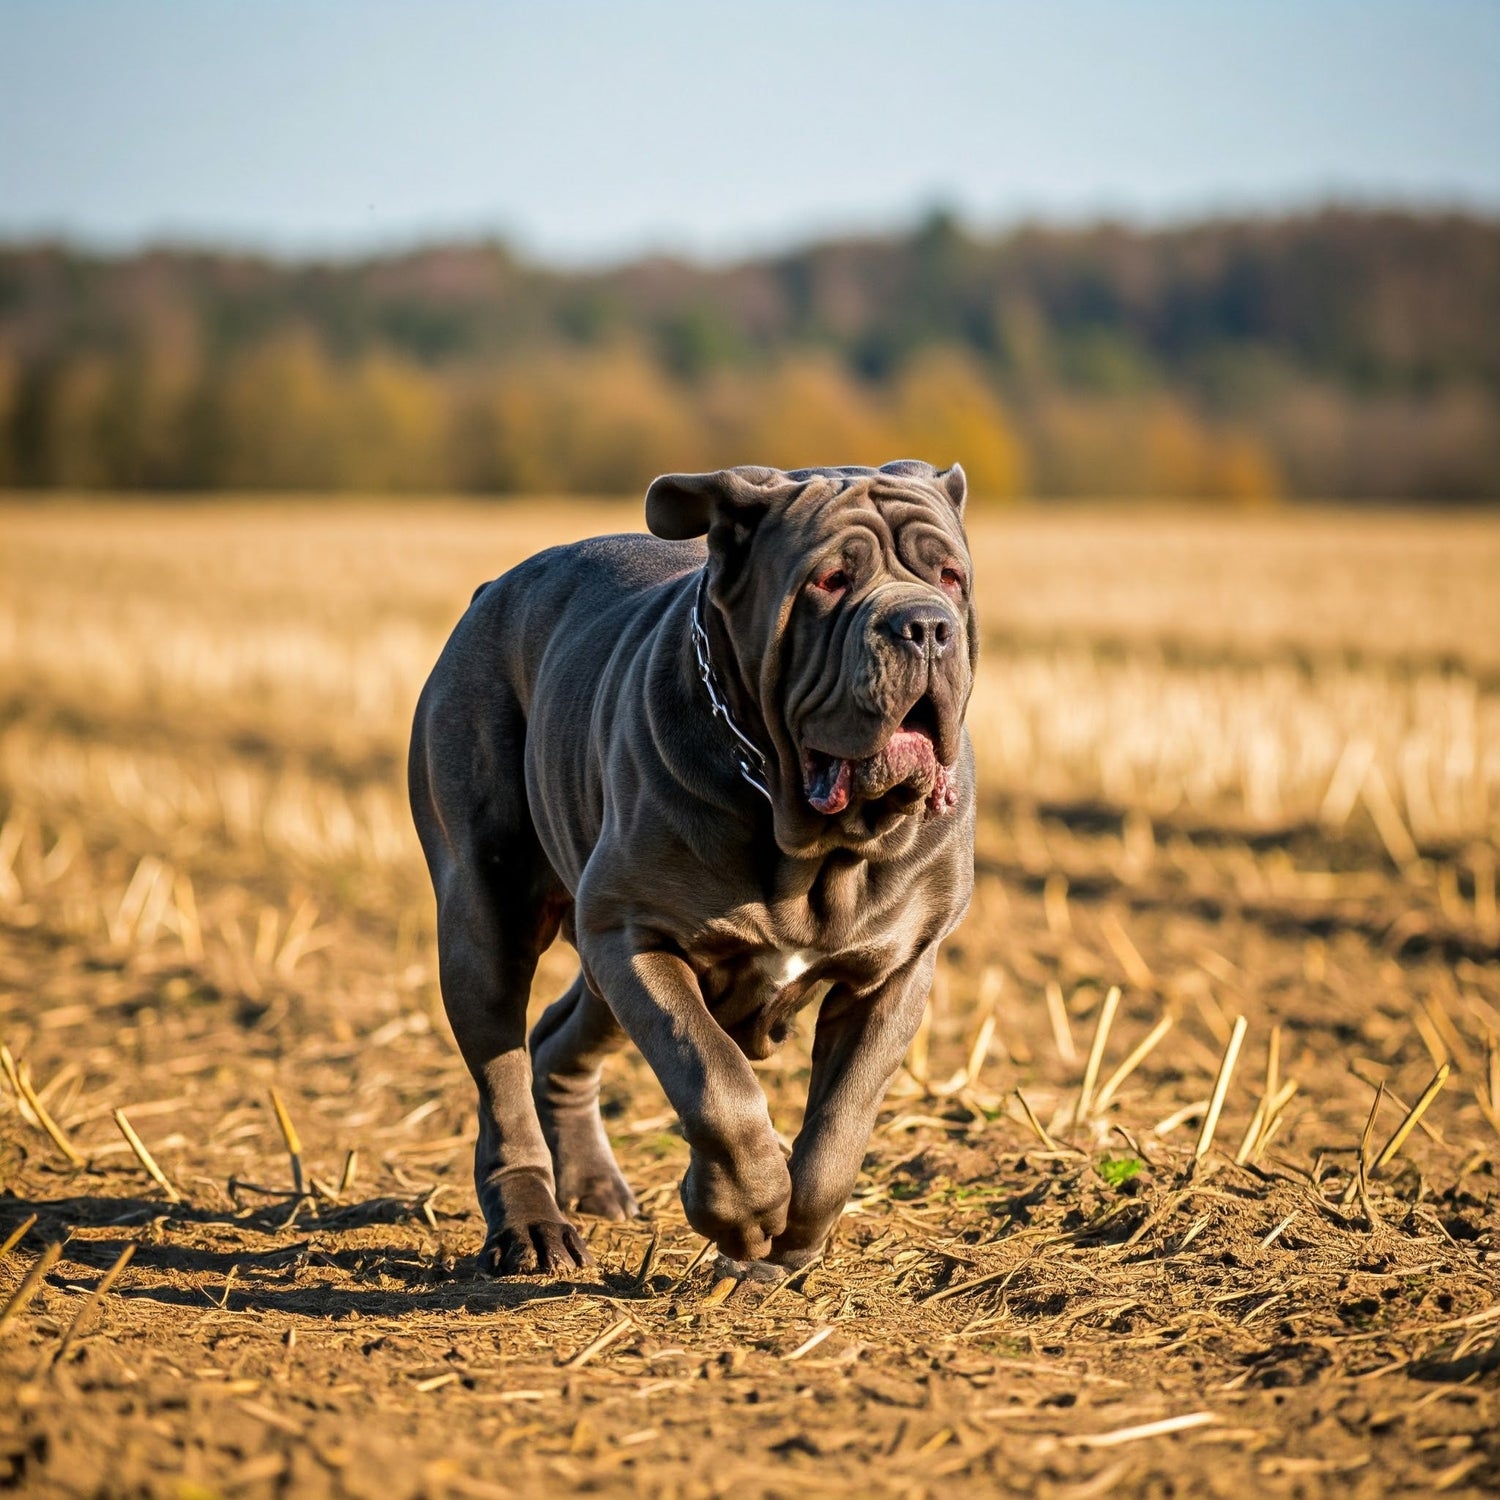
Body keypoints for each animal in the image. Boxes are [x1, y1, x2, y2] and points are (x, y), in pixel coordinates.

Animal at [408, 459, 972, 1278]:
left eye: (952, 576)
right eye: (830, 580)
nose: (925, 624)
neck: (809, 838)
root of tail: (491, 592)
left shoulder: (897, 970)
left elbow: (842, 1120)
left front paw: (792, 1236)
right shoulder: (634, 935)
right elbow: (712, 1077)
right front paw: (742, 1213)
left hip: (595, 966)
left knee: (555, 1039)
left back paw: (593, 1184)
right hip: (486, 916)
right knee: (503, 1076)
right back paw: (532, 1227)